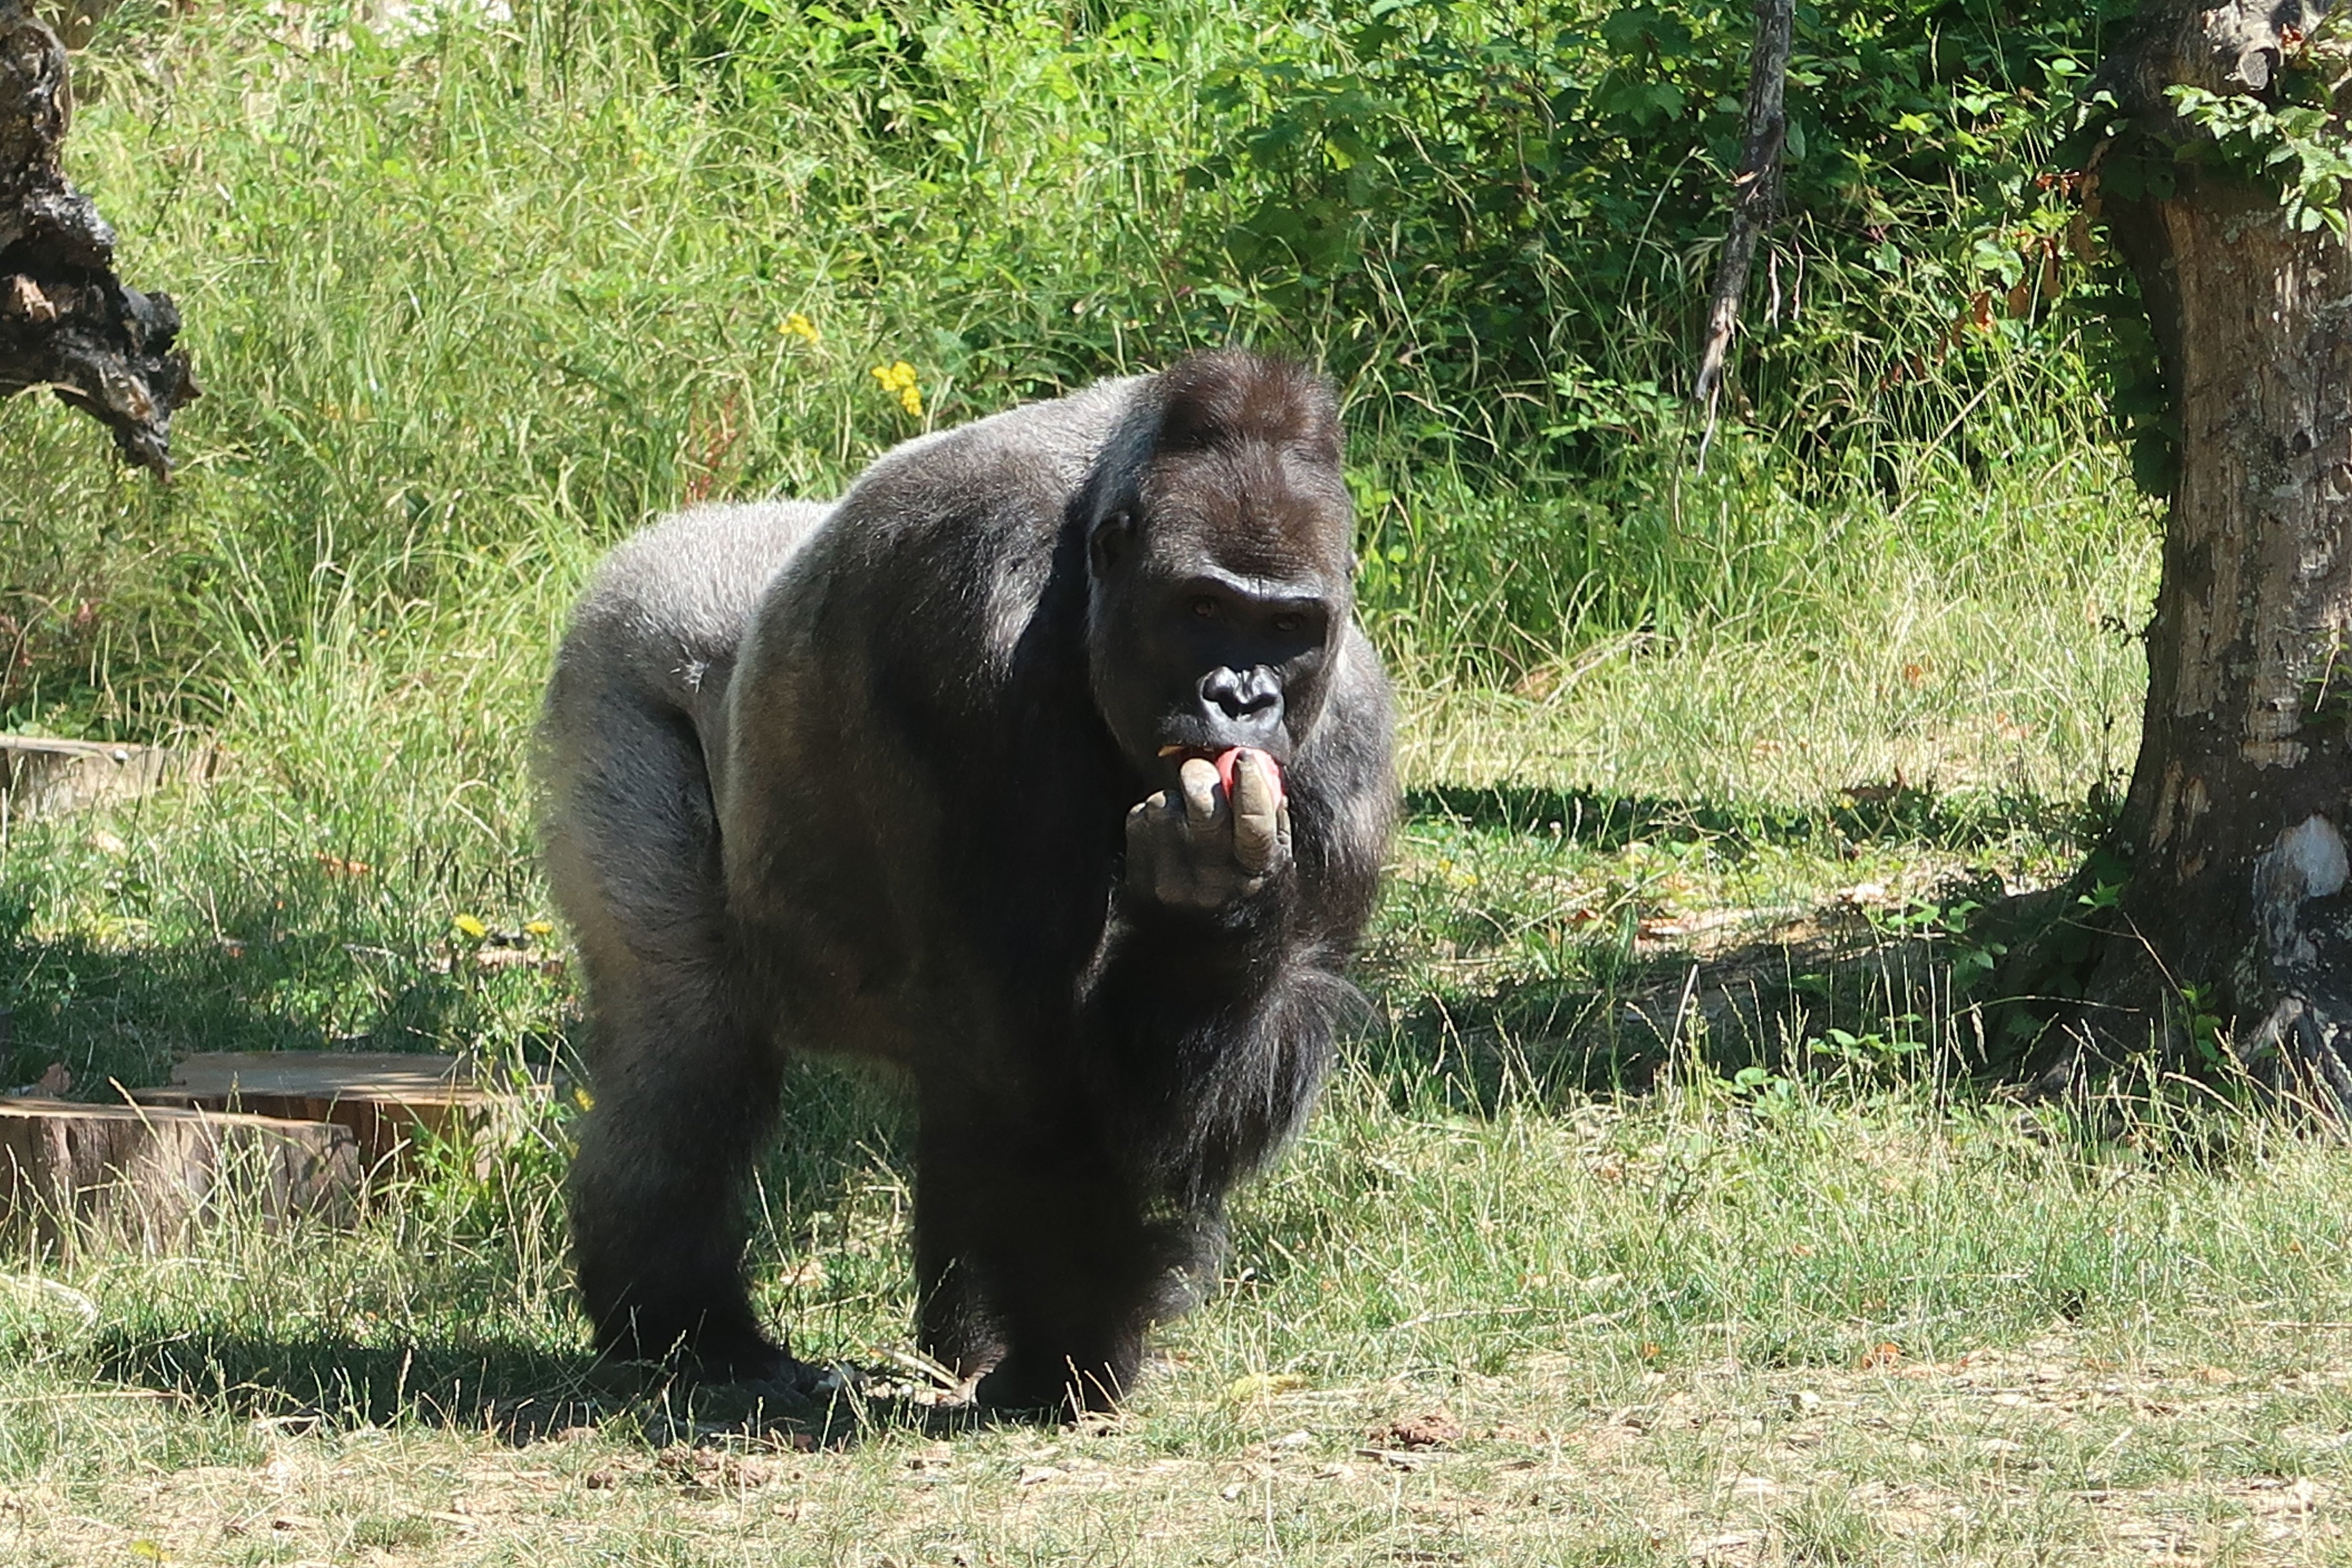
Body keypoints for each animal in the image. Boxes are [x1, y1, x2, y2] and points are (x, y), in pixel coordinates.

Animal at [539, 350, 1392, 1420]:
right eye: (1203, 608)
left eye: (1287, 625)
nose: (1243, 698)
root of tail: (693, 531)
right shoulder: (972, 604)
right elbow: (1019, 1018)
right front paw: (1066, 1351)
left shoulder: (1352, 739)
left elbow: (1209, 1085)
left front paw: (1214, 898)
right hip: (619, 653)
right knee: (687, 1038)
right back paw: (687, 1330)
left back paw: (953, 1334)